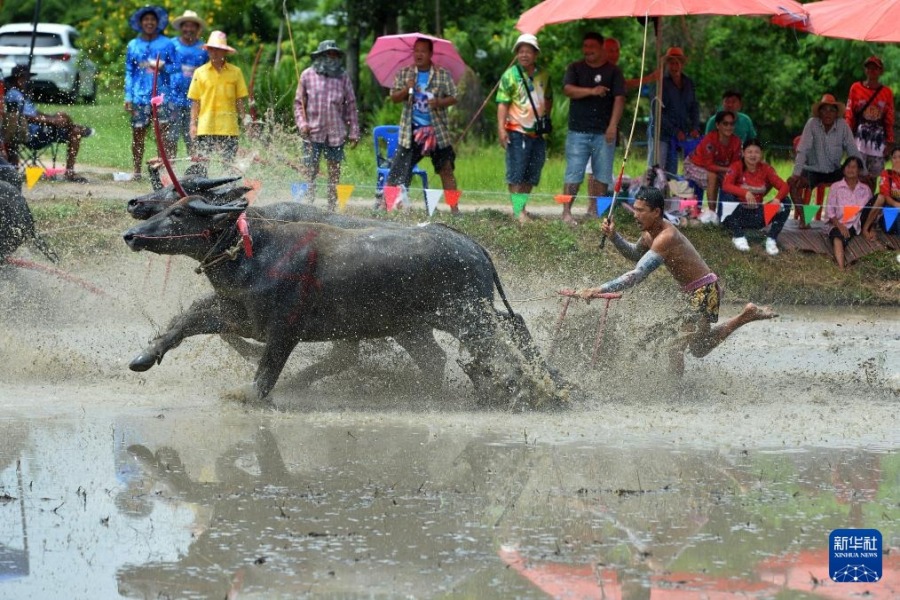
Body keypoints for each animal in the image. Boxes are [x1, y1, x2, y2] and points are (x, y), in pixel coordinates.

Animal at [123, 199, 568, 410]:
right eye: (167, 208)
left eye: (180, 213)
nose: (131, 233)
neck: (254, 252)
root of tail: (474, 247)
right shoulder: (237, 314)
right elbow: (184, 321)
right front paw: (144, 357)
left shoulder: (284, 330)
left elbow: (266, 373)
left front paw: (248, 396)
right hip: (434, 322)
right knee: (474, 345)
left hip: (467, 316)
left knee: (504, 342)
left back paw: (528, 392)